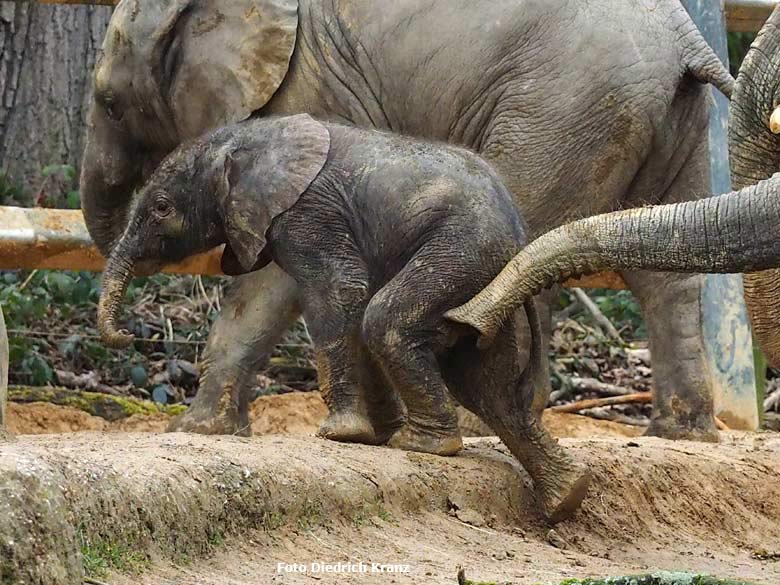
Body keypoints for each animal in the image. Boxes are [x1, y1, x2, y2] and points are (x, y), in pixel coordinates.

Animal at [82, 0, 736, 440]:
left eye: (109, 103)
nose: (133, 339)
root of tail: (687, 38)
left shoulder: (307, 89)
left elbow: (278, 281)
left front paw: (196, 432)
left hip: (567, 109)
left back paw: (479, 423)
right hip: (666, 117)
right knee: (666, 277)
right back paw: (678, 434)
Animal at [94, 113, 588, 520]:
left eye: (161, 207)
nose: (126, 338)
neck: (246, 138)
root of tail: (521, 233)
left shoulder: (307, 214)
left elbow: (339, 289)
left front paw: (340, 435)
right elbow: (352, 295)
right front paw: (372, 434)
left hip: (463, 248)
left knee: (388, 321)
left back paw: (424, 446)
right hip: (485, 277)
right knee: (480, 376)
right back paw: (567, 496)